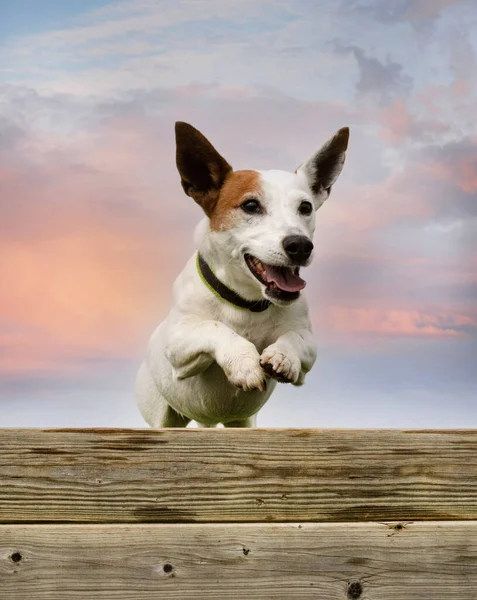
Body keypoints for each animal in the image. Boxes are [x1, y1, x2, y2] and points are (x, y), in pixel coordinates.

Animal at [136, 122, 348, 428]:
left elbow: (295, 339)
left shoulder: (308, 345)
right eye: (250, 206)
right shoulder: (178, 343)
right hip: (161, 416)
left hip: (243, 421)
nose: (300, 246)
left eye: (306, 207)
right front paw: (244, 361)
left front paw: (283, 356)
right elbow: (213, 326)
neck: (246, 302)